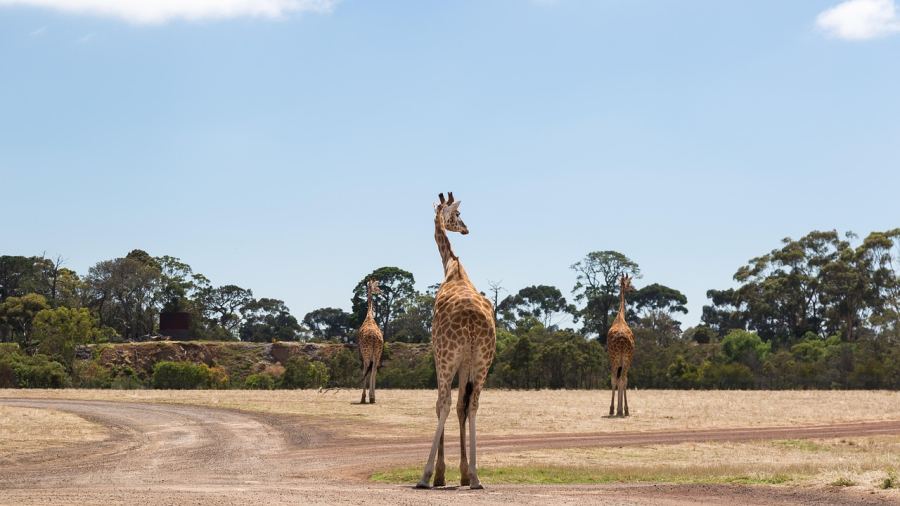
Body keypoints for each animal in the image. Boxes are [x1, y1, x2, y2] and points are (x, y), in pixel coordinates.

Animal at [416, 192, 496, 488]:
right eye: (459, 215)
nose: (466, 229)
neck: (453, 268)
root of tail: (472, 323)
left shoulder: (439, 355)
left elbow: (441, 405)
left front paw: (439, 473)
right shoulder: (467, 364)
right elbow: (462, 407)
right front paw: (462, 471)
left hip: (448, 356)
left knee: (445, 404)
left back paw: (425, 475)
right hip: (483, 360)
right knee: (472, 405)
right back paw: (475, 476)